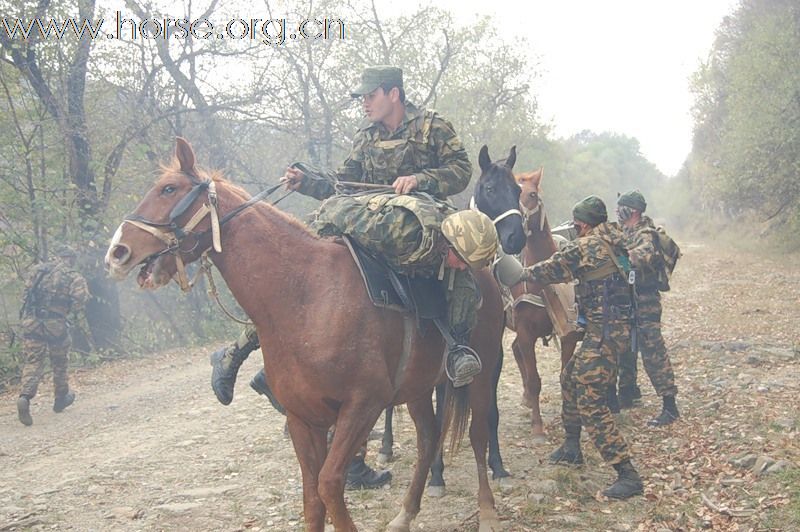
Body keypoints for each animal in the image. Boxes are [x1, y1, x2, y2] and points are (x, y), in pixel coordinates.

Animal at [107, 138, 506, 532]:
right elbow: (313, 498)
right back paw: (406, 514)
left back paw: (487, 511)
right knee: (428, 439)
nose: (117, 252)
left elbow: (329, 485)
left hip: (482, 372)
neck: (306, 296)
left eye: (169, 189)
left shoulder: (363, 406)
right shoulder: (303, 418)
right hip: (418, 387)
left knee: (477, 434)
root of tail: (487, 274)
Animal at [512, 169, 580, 440]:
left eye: (532, 194)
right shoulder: (525, 332)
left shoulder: (568, 332)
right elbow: (534, 381)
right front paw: (538, 427)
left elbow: (564, 375)